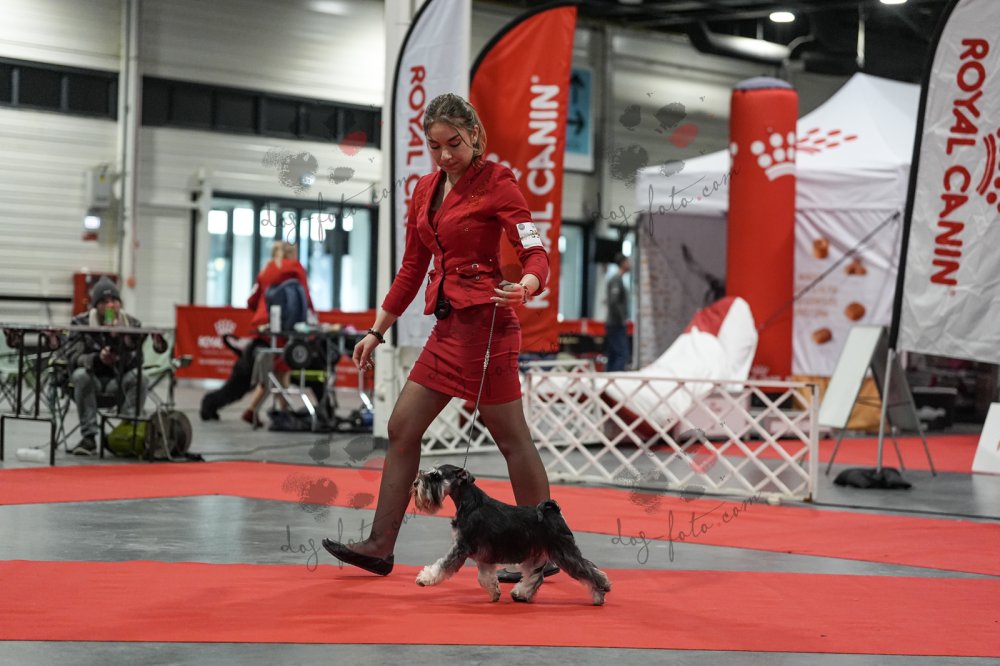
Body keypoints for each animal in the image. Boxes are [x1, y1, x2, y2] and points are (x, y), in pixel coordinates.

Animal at [411, 464, 611, 605]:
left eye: (436, 475)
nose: (415, 483)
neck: (470, 504)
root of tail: (553, 511)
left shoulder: (462, 547)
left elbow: (442, 566)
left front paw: (425, 578)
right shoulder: (483, 554)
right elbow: (484, 577)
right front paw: (494, 592)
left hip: (563, 551)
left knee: (589, 570)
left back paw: (599, 593)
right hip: (536, 554)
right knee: (535, 576)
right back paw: (521, 593)